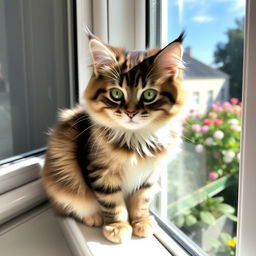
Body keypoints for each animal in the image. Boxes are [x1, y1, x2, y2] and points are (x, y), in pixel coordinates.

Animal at [41, 32, 186, 244]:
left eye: (149, 95)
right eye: (116, 93)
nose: (131, 113)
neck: (136, 140)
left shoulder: (149, 174)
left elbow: (141, 200)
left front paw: (141, 222)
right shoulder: (100, 172)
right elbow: (112, 203)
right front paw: (118, 227)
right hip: (61, 180)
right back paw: (93, 217)